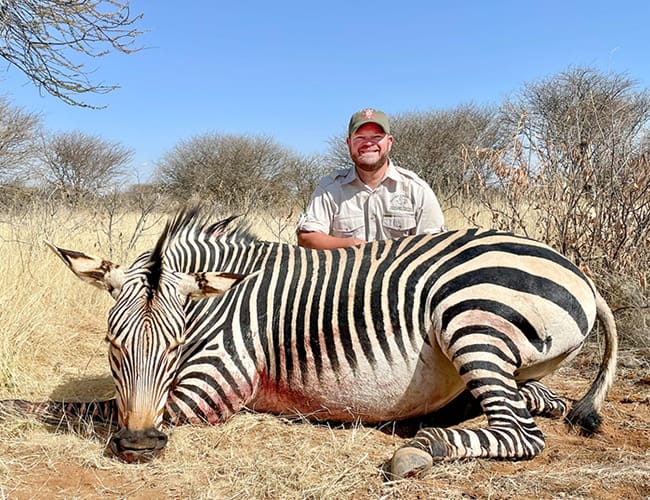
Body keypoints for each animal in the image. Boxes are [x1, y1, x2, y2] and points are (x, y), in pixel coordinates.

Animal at [0, 207, 617, 477]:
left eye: (175, 345)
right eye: (112, 345)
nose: (139, 446)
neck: (219, 303)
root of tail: (578, 270)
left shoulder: (210, 387)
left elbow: (80, 407)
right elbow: (89, 403)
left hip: (470, 321)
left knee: (521, 432)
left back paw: (423, 447)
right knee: (534, 403)